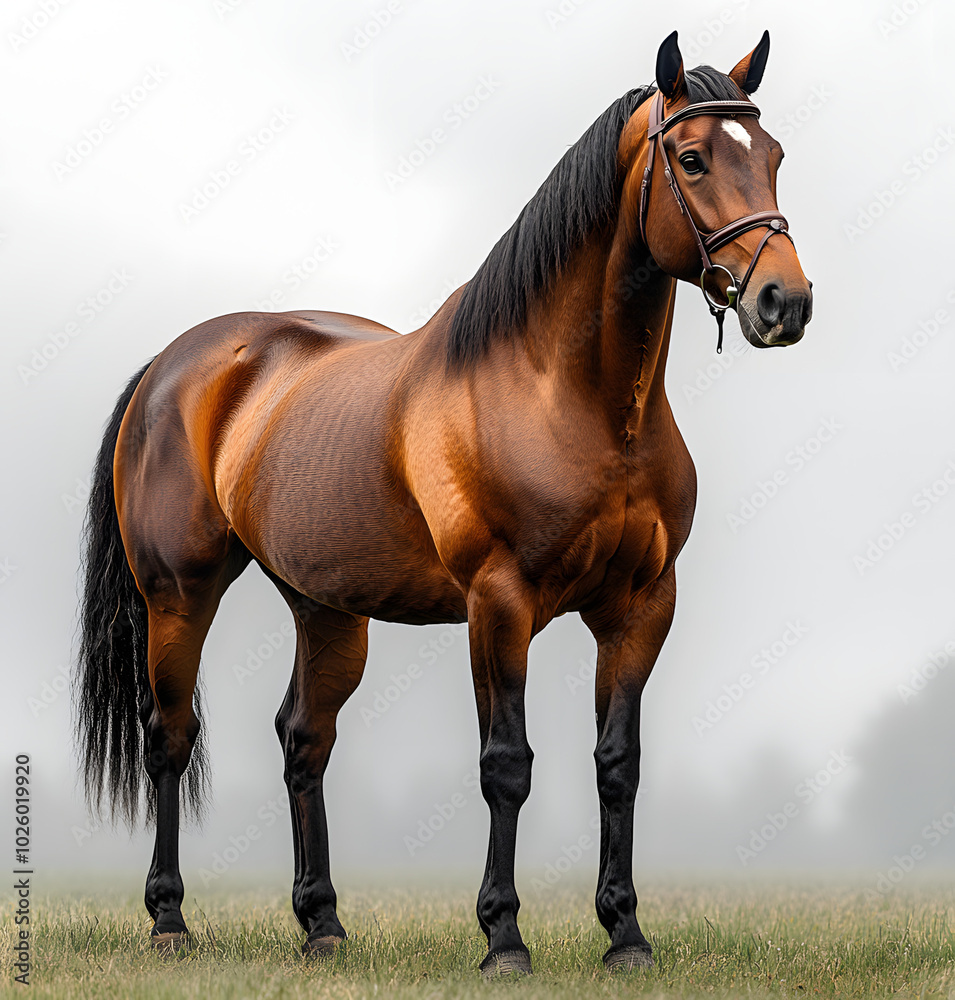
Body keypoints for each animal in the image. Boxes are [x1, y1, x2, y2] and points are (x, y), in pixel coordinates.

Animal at [75, 29, 811, 976]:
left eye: (774, 156)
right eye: (691, 158)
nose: (783, 302)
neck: (567, 395)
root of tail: (171, 366)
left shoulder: (641, 606)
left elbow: (618, 764)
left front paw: (625, 935)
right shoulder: (498, 604)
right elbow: (507, 764)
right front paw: (503, 937)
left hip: (325, 608)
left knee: (302, 739)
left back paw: (322, 925)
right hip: (179, 596)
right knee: (169, 735)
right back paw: (169, 920)